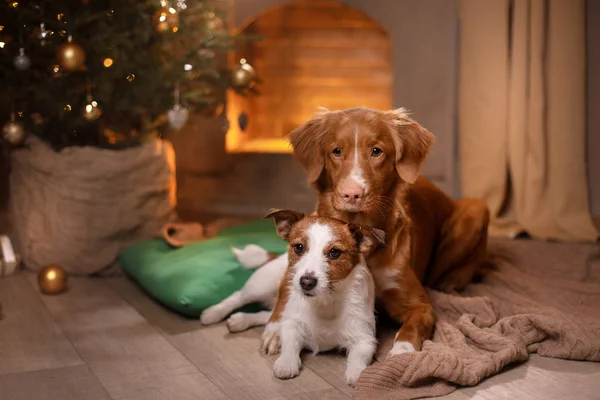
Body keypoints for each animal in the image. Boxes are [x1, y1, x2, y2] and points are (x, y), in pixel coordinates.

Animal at [262, 107, 488, 356]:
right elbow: (285, 293)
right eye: (336, 151)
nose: (352, 193)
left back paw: (453, 280)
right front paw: (275, 328)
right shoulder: (297, 269)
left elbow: (411, 326)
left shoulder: (420, 304)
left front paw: (402, 351)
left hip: (475, 209)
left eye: (377, 151)